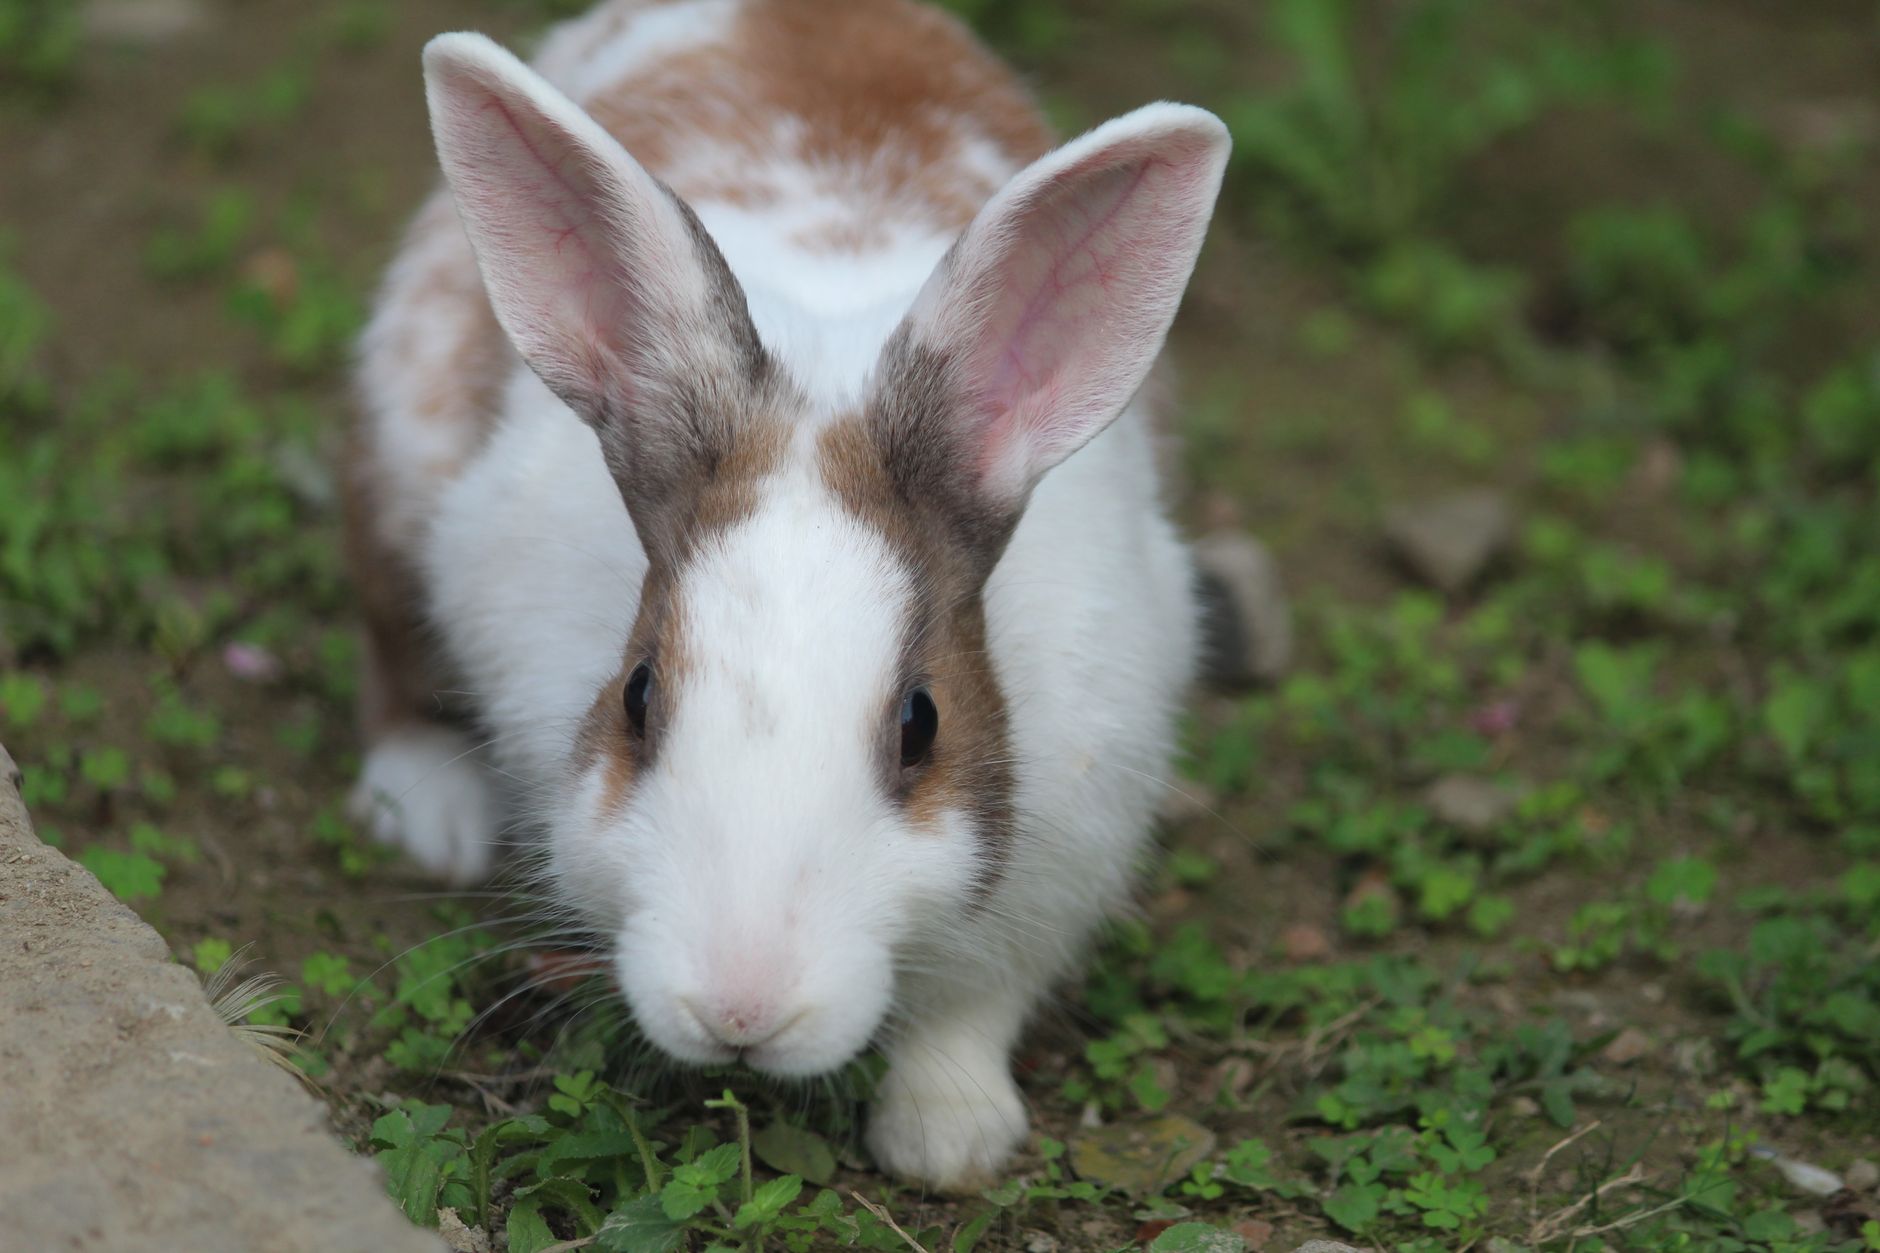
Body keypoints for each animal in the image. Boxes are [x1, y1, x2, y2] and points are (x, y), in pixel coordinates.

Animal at [344, 0, 1229, 1189]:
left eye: (921, 723)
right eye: (637, 696)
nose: (740, 1007)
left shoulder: (1062, 858)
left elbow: (970, 1011)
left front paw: (945, 1138)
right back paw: (429, 809)